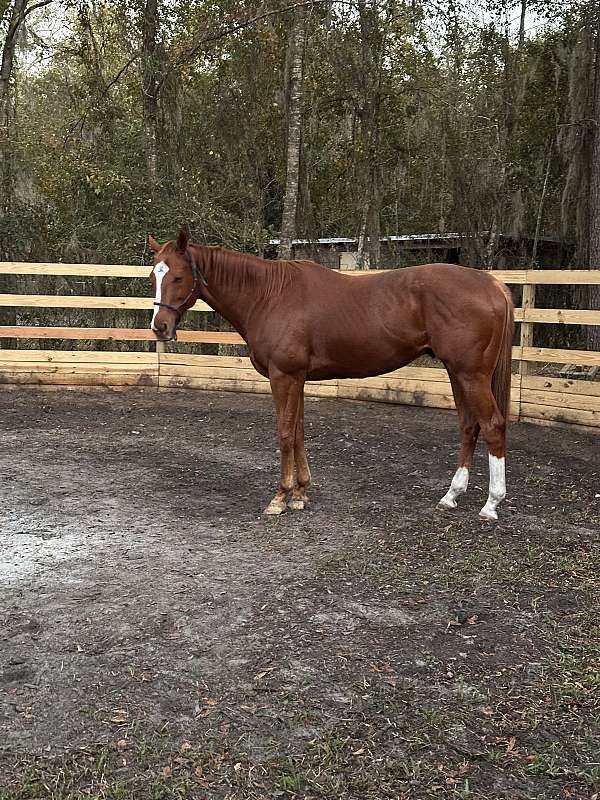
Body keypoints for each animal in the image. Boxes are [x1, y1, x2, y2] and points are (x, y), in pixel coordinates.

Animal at [148, 228, 514, 521]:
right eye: (153, 276)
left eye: (178, 277)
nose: (159, 327)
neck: (269, 295)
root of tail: (493, 284)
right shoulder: (297, 378)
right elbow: (298, 432)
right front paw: (300, 494)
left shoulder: (283, 377)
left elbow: (285, 433)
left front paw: (280, 498)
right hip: (457, 373)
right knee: (469, 426)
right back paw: (451, 496)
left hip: (472, 375)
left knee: (493, 425)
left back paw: (491, 505)